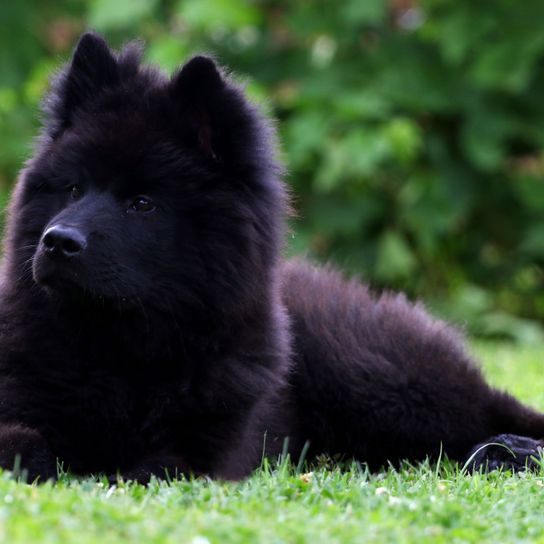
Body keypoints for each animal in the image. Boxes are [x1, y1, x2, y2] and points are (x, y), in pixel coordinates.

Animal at [1, 34, 544, 482]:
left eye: (142, 204)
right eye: (73, 188)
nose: (57, 241)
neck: (119, 346)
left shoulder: (203, 452)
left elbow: (148, 469)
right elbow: (22, 444)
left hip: (374, 378)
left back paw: (512, 449)